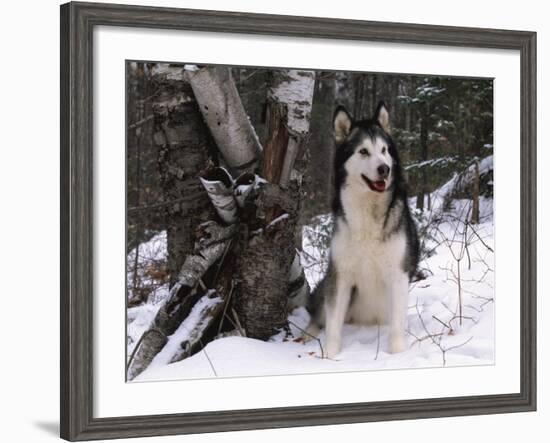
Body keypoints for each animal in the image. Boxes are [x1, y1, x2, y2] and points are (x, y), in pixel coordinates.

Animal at [308, 102, 420, 360]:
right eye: (363, 151)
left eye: (384, 150)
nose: (384, 169)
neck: (368, 212)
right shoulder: (340, 274)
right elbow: (333, 321)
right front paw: (330, 354)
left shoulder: (398, 273)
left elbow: (398, 323)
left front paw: (398, 353)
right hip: (327, 286)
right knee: (317, 315)